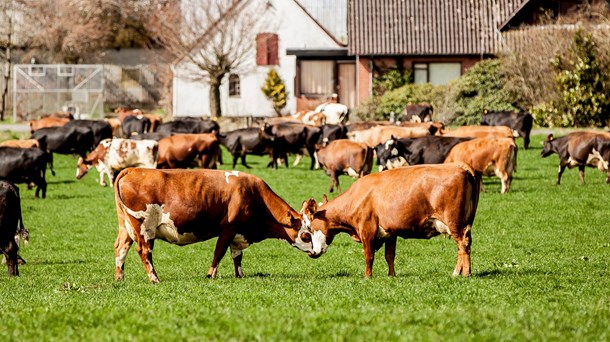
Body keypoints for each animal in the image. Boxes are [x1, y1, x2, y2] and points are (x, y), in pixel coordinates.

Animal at [113, 168, 318, 284]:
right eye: (306, 235)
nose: (318, 252)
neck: (253, 193)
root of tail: (132, 169)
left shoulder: (238, 233)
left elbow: (237, 256)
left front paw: (239, 275)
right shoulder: (229, 228)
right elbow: (219, 252)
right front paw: (211, 275)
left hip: (125, 227)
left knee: (120, 248)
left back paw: (119, 277)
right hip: (144, 227)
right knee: (145, 252)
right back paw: (154, 278)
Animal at [302, 163, 478, 278]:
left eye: (309, 228)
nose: (311, 253)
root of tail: (461, 167)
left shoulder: (367, 230)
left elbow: (369, 255)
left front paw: (367, 276)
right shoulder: (390, 232)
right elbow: (390, 256)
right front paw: (391, 275)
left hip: (454, 223)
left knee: (463, 245)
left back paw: (464, 273)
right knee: (463, 246)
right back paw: (459, 272)